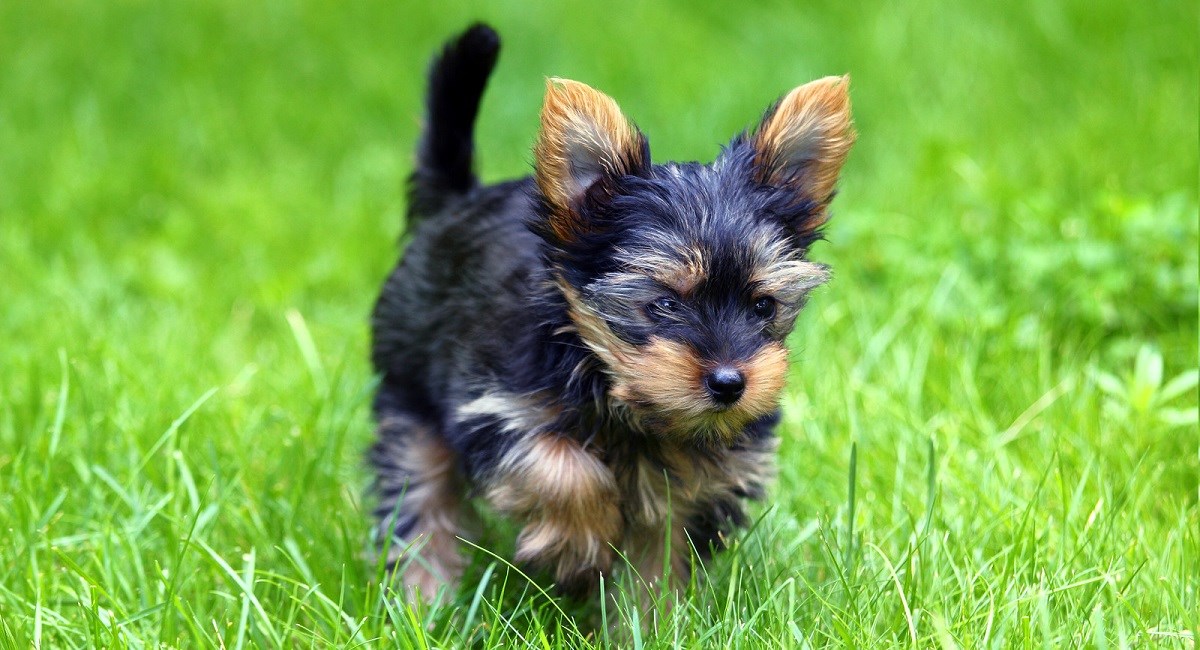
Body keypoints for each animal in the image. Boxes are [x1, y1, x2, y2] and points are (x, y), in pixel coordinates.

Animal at [369, 24, 849, 606]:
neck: (618, 391)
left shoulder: (700, 478)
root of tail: (456, 203)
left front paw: (652, 616)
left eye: (763, 305)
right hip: (408, 388)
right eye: (664, 304)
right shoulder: (495, 407)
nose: (731, 383)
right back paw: (424, 599)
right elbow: (562, 466)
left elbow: (661, 556)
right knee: (418, 493)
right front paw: (578, 546)